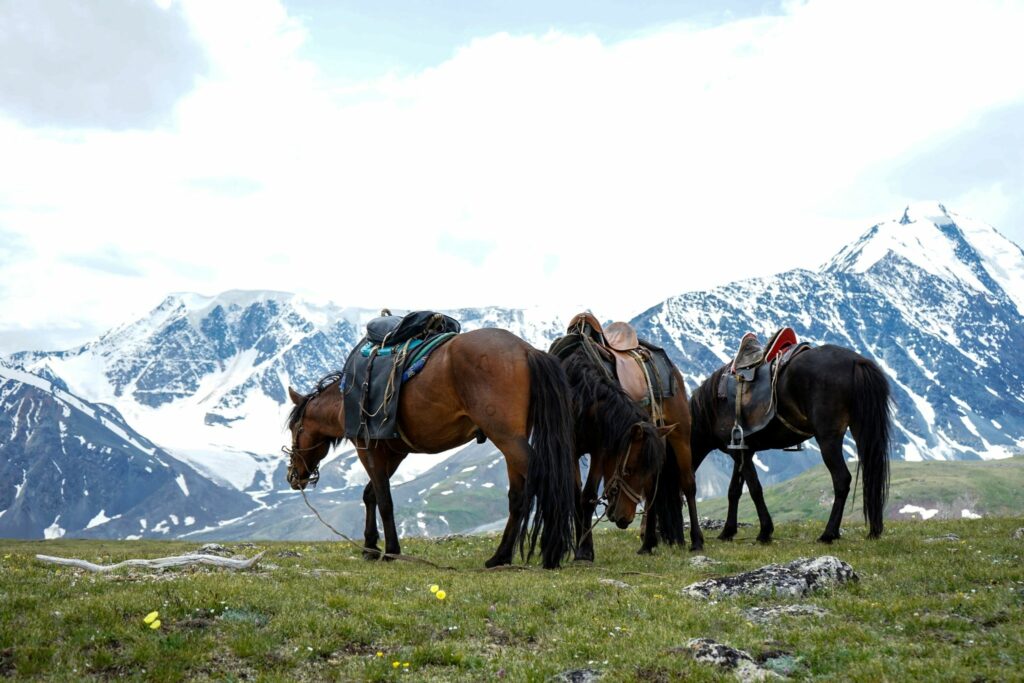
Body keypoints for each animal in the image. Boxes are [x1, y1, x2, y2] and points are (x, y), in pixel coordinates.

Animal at [285, 328, 578, 569]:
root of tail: (526, 350)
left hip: (506, 437)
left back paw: (552, 553)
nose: (293, 476)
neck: (347, 397)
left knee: (548, 481)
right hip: (513, 440)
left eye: (294, 428)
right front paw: (370, 547)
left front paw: (390, 550)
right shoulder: (395, 452)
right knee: (519, 497)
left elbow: (384, 499)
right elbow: (371, 495)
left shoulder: (367, 448)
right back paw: (500, 557)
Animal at [560, 343, 705, 560]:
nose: (624, 519)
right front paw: (581, 548)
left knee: (688, 485)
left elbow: (588, 497)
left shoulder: (601, 450)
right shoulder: (572, 449)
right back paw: (648, 544)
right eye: (627, 470)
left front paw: (585, 552)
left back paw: (696, 541)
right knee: (653, 491)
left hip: (680, 436)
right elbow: (576, 499)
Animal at [689, 344, 892, 543]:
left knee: (842, 479)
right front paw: (727, 532)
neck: (714, 406)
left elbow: (754, 489)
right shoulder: (742, 451)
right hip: (860, 430)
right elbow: (734, 491)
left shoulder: (740, 453)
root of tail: (856, 361)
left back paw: (828, 534)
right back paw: (872, 531)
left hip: (828, 439)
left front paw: (765, 531)